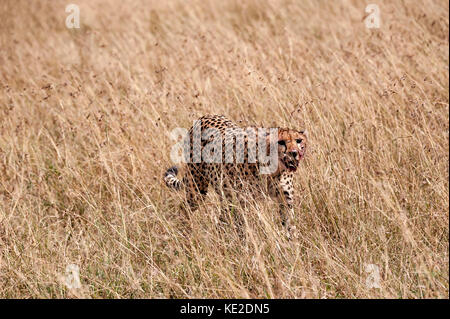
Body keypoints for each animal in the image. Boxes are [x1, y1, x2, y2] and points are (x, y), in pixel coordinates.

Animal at [163, 114, 308, 232]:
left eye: (298, 140)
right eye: (281, 142)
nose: (294, 153)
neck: (274, 170)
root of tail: (203, 117)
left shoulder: (285, 198)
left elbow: (289, 222)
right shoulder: (243, 201)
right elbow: (244, 226)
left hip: (224, 193)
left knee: (223, 216)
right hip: (197, 189)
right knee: (185, 208)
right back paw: (185, 232)